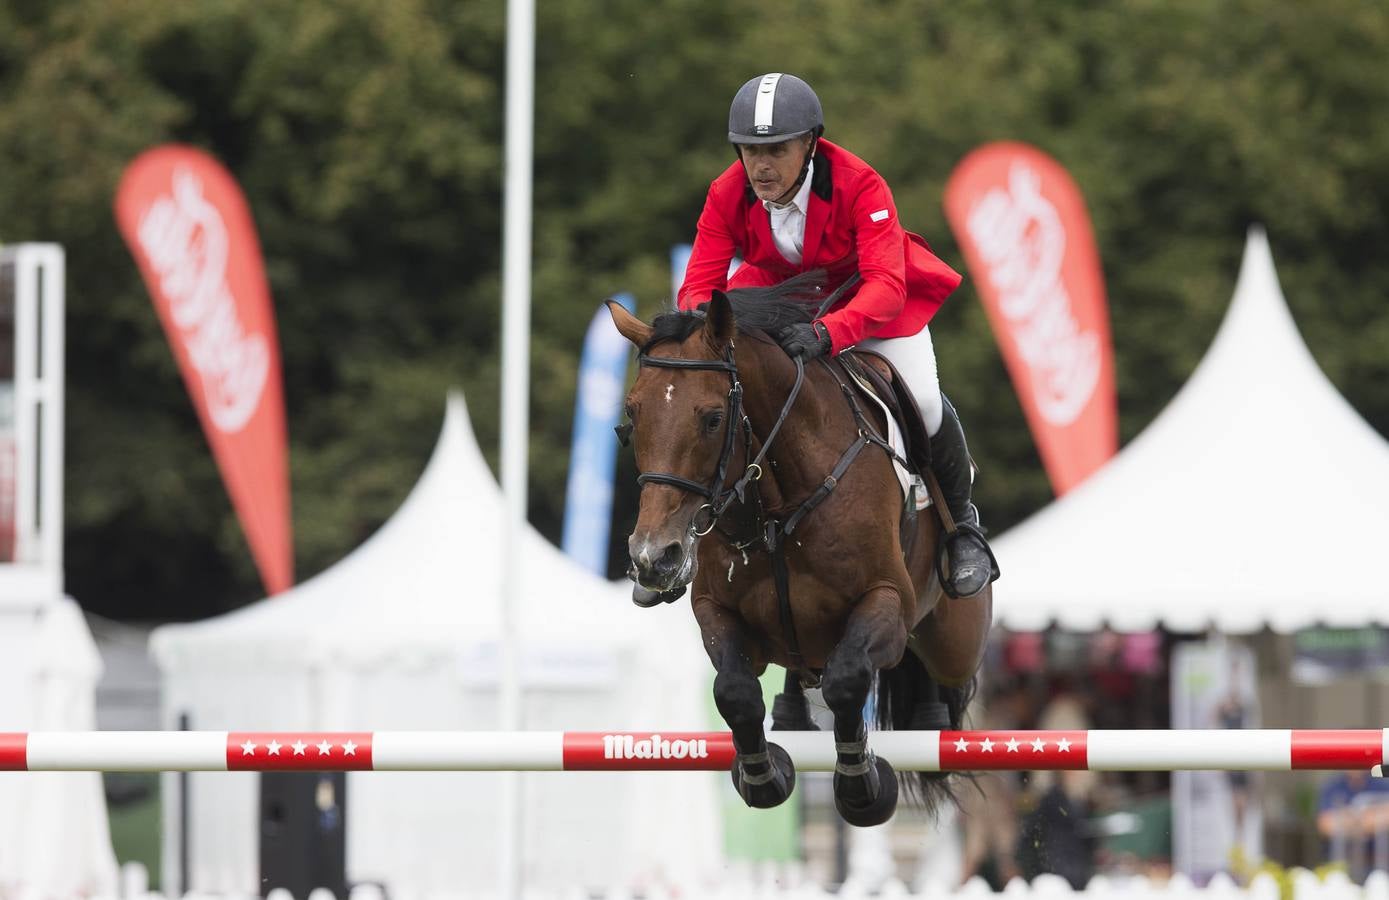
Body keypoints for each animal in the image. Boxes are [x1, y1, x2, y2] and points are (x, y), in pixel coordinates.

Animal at [605, 272, 988, 822]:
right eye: (632, 416)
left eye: (713, 418)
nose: (654, 558)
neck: (778, 501)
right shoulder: (716, 609)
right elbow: (735, 690)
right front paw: (763, 776)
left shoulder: (887, 601)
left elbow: (846, 679)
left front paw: (863, 786)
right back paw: (791, 716)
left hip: (955, 639)